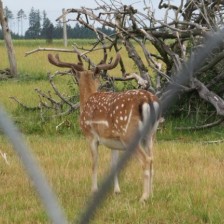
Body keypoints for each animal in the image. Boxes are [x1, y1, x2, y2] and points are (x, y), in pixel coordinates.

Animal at [48, 52, 161, 201]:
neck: (86, 101)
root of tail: (148, 100)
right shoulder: (113, 142)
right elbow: (113, 165)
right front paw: (117, 190)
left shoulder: (90, 136)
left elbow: (94, 162)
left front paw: (94, 190)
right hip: (150, 135)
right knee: (152, 158)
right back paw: (152, 194)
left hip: (129, 134)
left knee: (146, 160)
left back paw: (144, 197)